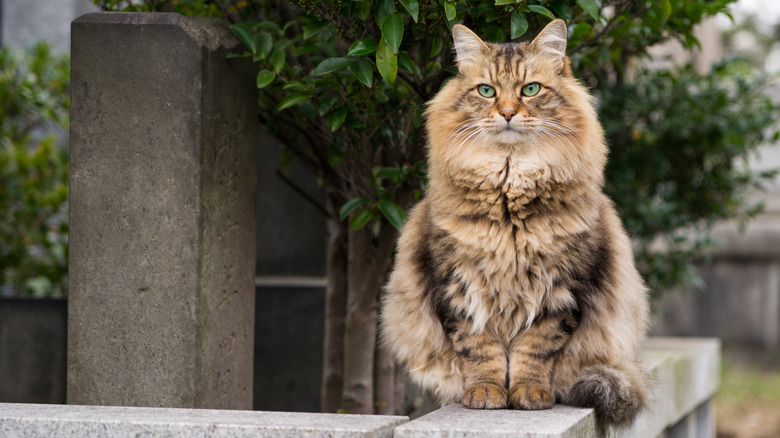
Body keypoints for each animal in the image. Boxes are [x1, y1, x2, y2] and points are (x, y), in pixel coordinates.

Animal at [380, 18, 652, 426]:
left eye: (531, 89)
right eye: (487, 91)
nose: (507, 112)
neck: (509, 190)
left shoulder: (560, 290)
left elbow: (534, 351)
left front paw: (528, 394)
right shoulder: (459, 287)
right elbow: (480, 352)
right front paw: (485, 394)